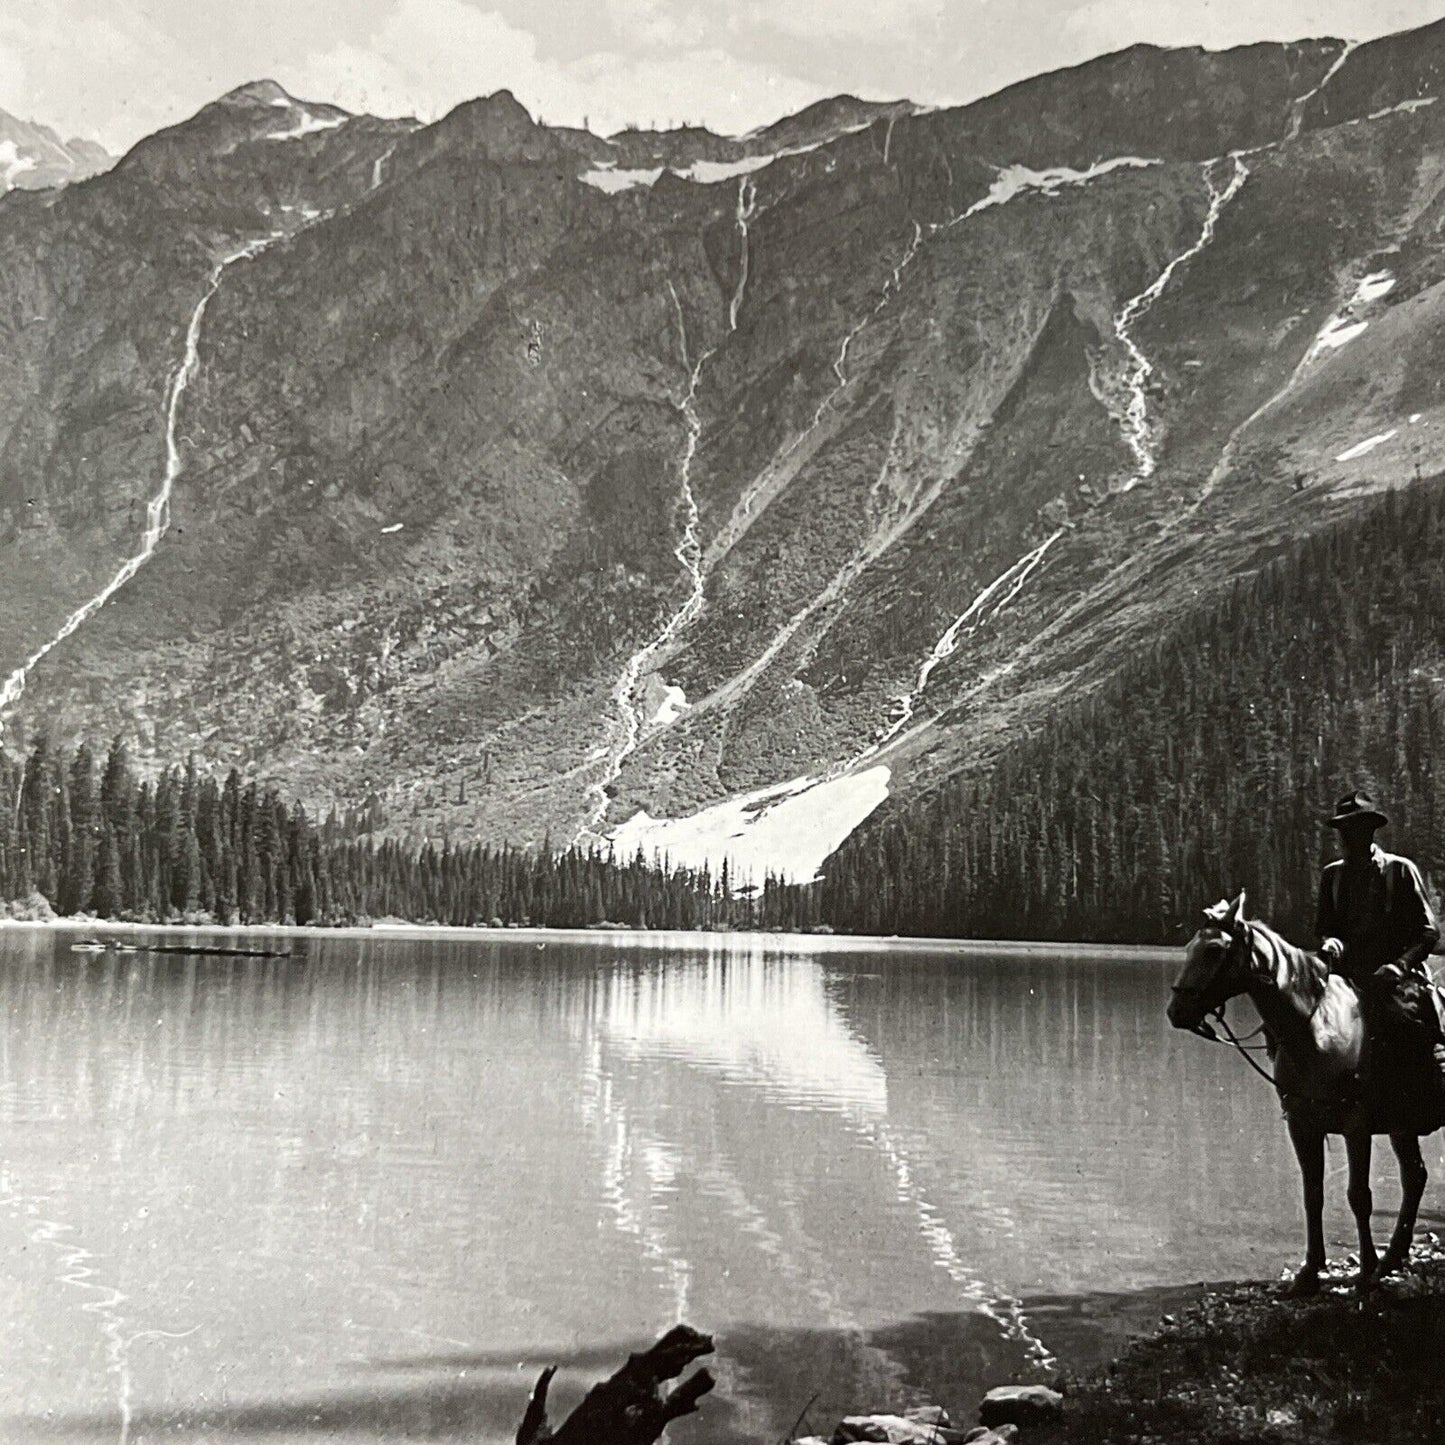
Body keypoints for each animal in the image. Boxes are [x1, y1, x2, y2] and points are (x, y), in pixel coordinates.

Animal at [1167, 890, 1439, 1300]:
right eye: (1188, 947)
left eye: (1214, 950)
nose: (1176, 1011)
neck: (1316, 1030)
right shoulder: (1301, 1124)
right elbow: (1313, 1195)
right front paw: (1310, 1272)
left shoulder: (1356, 1126)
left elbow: (1359, 1196)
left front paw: (1365, 1272)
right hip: (1402, 1127)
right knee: (1415, 1177)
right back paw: (1393, 1258)